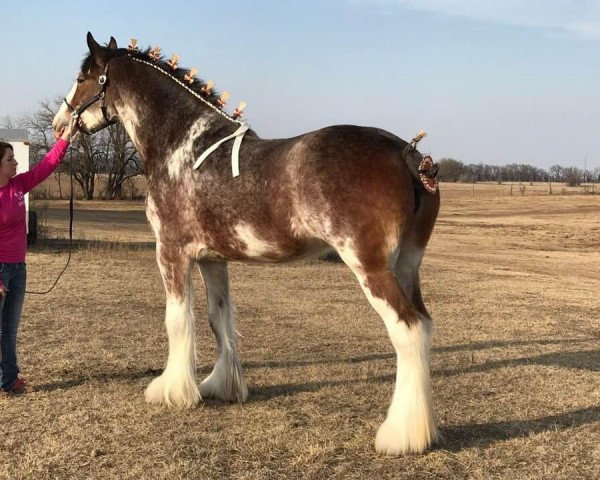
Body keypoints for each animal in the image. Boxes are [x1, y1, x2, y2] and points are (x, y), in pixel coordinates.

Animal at [51, 32, 440, 454]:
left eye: (84, 77)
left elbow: (178, 319)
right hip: (407, 265)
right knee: (423, 325)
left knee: (407, 330)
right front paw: (222, 386)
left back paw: (400, 435)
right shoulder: (212, 259)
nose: (58, 124)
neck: (181, 146)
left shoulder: (171, 252)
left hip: (369, 266)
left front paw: (171, 391)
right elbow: (218, 318)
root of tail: (405, 154)